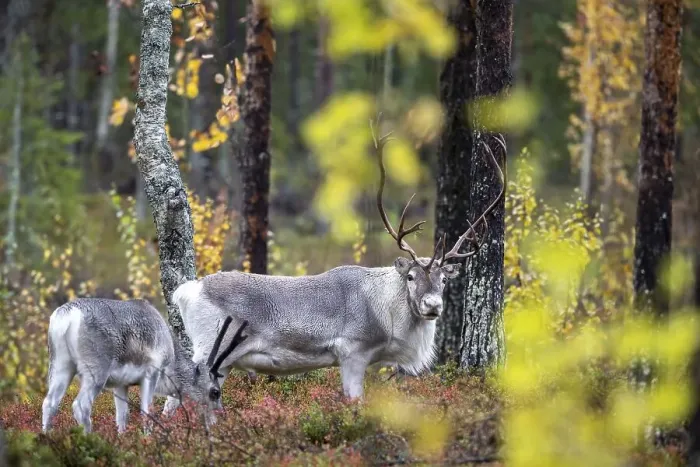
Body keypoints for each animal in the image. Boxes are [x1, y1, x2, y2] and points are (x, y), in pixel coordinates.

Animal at [41, 297, 248, 434]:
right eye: (215, 392)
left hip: (60, 364)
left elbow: (122, 417)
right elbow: (146, 413)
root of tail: (66, 317)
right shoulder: (151, 372)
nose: (220, 417)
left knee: (49, 403)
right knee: (81, 405)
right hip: (95, 370)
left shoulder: (121, 384)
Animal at [162, 120, 505, 416]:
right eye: (410, 276)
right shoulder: (352, 351)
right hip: (209, 349)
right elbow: (355, 402)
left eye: (444, 280)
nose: (432, 305)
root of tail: (187, 290)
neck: (387, 313)